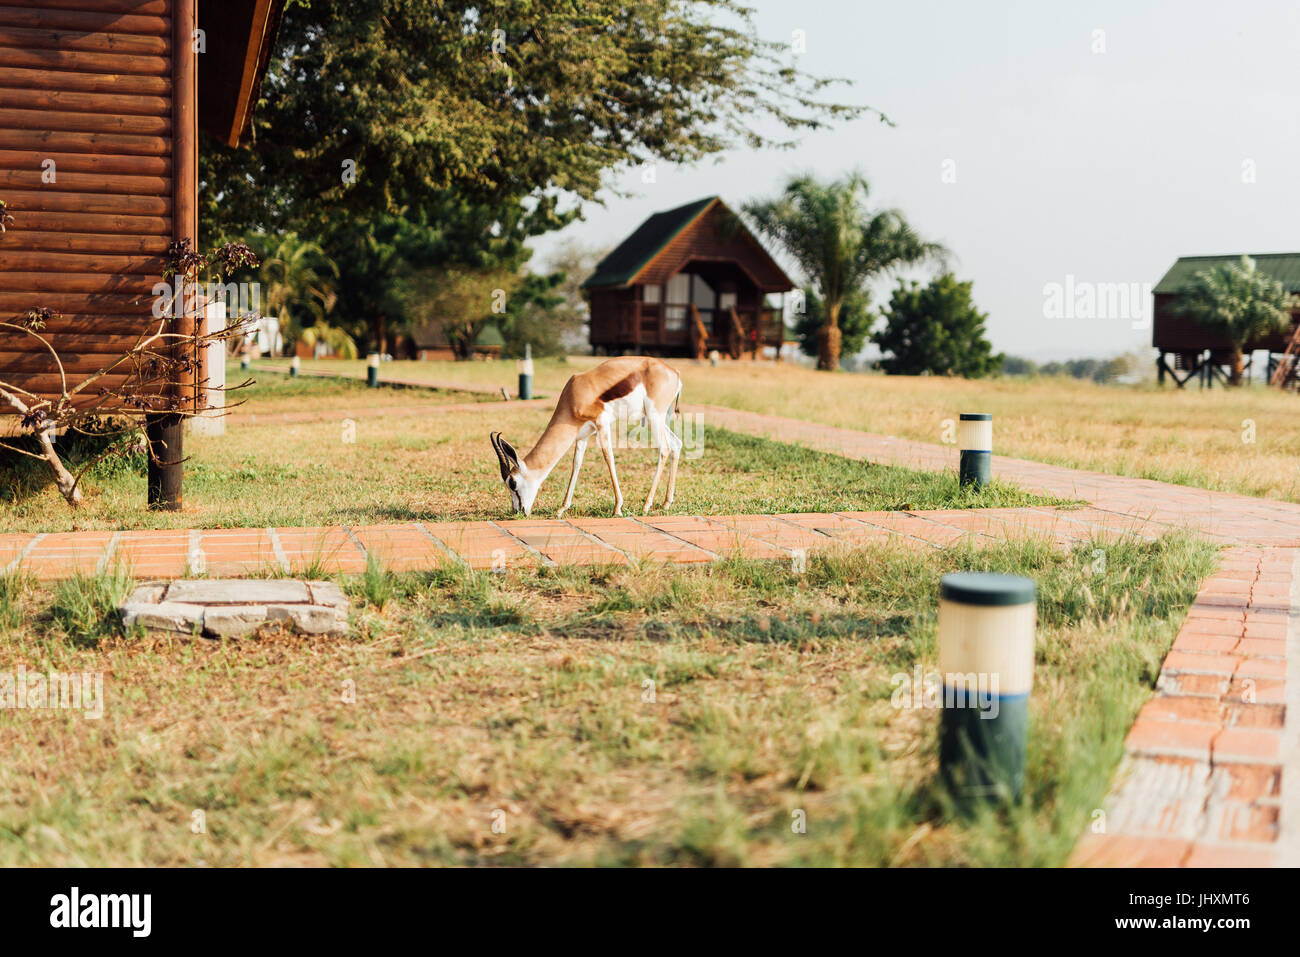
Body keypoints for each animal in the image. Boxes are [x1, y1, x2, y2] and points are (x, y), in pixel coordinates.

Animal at [488, 356, 691, 520]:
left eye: (513, 483)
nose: (518, 511)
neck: (574, 395)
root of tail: (675, 372)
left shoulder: (601, 423)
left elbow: (609, 458)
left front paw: (617, 508)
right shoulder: (582, 435)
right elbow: (576, 464)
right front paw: (562, 509)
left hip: (654, 416)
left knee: (664, 449)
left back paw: (646, 505)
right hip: (655, 419)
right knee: (676, 444)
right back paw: (666, 503)